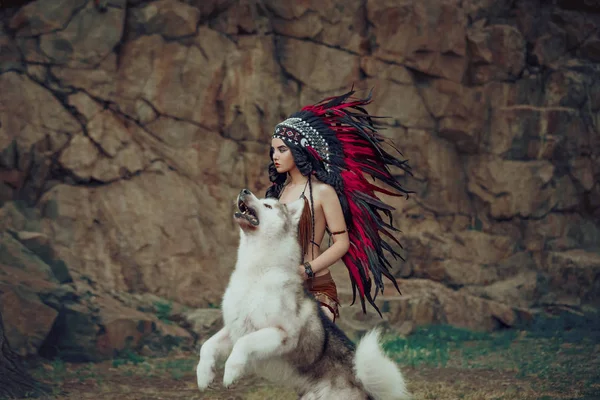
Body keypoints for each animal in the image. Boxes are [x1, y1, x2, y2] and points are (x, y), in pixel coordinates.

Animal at [197, 188, 412, 400]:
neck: (257, 273)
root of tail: (364, 387)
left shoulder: (282, 334)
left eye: (268, 205)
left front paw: (231, 372)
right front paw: (203, 375)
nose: (244, 191)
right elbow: (206, 345)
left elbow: (243, 343)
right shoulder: (235, 327)